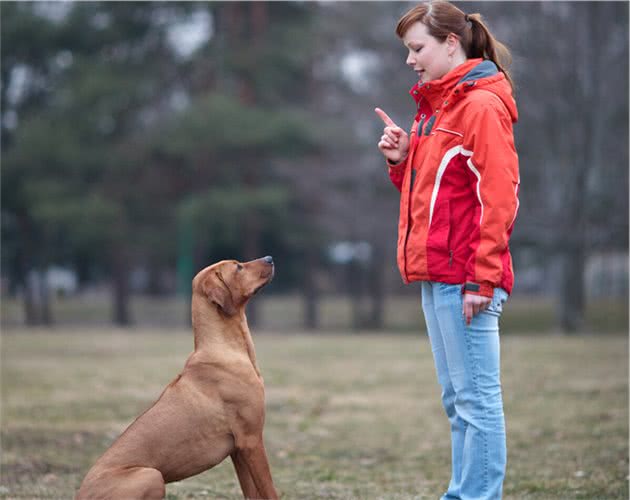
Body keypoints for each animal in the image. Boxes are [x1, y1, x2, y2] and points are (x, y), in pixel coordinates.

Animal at [76, 258, 278, 500]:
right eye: (238, 267)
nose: (270, 258)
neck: (224, 348)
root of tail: (79, 495)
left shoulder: (238, 448)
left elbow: (252, 493)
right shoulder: (251, 439)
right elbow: (269, 490)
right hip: (152, 475)